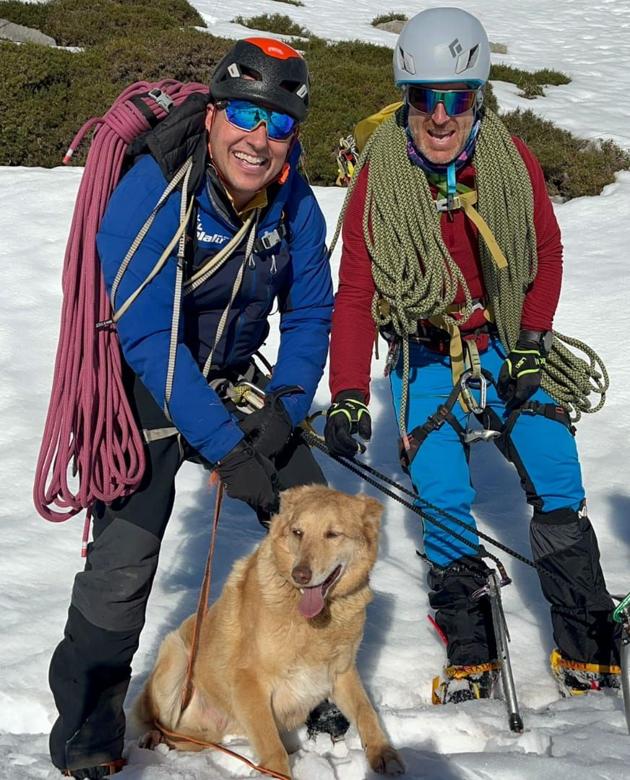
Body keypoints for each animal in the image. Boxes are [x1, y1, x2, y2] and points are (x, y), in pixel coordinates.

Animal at [136, 484, 408, 776]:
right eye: (298, 532)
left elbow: (366, 712)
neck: (313, 619)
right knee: (158, 722)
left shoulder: (342, 672)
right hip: (175, 655)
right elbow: (272, 748)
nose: (300, 575)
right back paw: (151, 737)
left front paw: (383, 753)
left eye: (333, 534)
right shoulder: (249, 680)